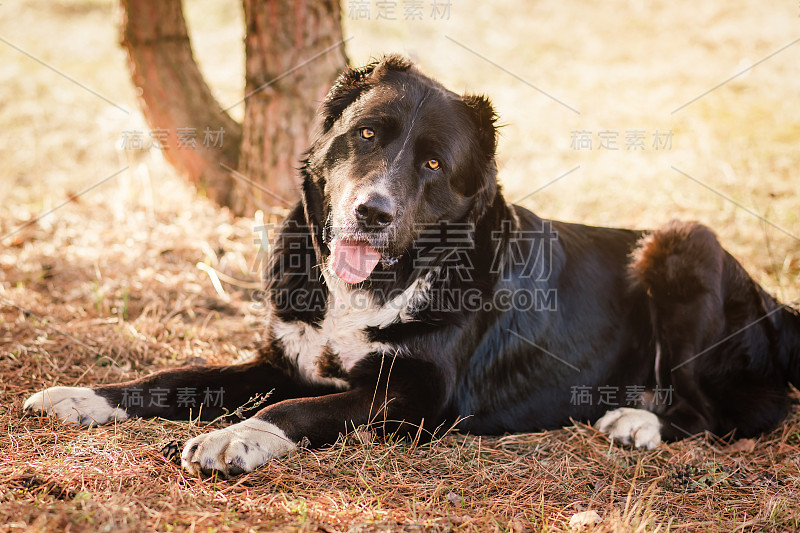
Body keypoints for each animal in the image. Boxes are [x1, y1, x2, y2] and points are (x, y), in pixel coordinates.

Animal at [23, 55, 800, 478]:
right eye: (367, 135)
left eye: (431, 164)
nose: (373, 212)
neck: (377, 286)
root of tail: (776, 306)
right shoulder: (284, 359)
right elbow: (176, 376)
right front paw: (82, 397)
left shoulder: (415, 396)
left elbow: (294, 409)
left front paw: (236, 438)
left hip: (684, 240)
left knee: (724, 414)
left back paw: (636, 423)